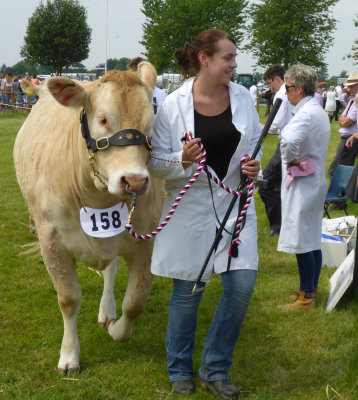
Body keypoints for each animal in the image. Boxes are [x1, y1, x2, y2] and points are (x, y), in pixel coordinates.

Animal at [13, 62, 165, 376]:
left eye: (151, 123)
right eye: (103, 119)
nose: (135, 181)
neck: (96, 196)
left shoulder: (146, 239)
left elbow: (136, 301)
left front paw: (117, 329)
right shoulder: (52, 242)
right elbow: (69, 299)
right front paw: (69, 356)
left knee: (110, 272)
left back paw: (107, 312)